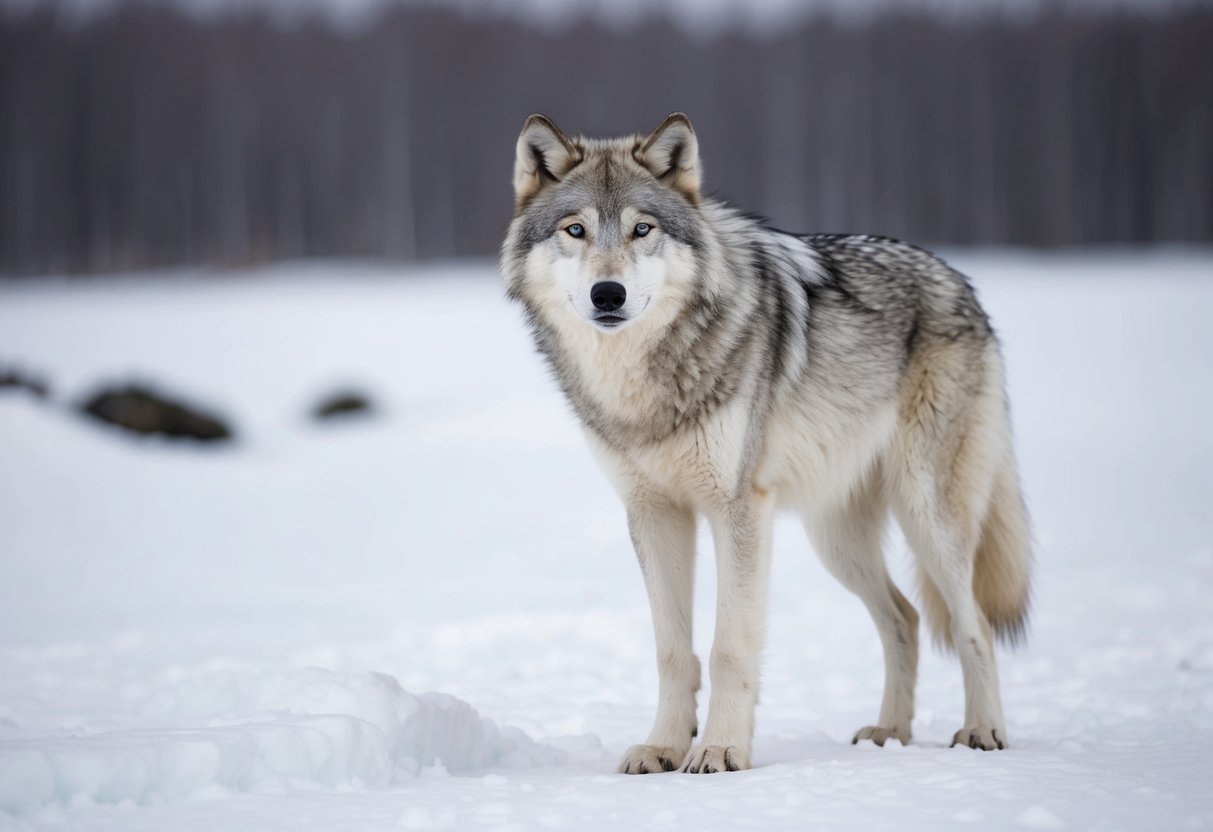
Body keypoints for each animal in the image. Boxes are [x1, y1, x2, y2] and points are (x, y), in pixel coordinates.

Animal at [501, 113, 1031, 774]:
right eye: (575, 230)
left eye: (642, 229)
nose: (608, 294)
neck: (643, 386)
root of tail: (962, 280)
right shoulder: (654, 514)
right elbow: (672, 651)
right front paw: (664, 747)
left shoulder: (738, 512)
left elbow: (729, 646)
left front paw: (722, 749)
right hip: (835, 540)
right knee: (904, 617)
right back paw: (889, 733)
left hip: (927, 514)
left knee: (972, 622)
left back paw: (984, 730)